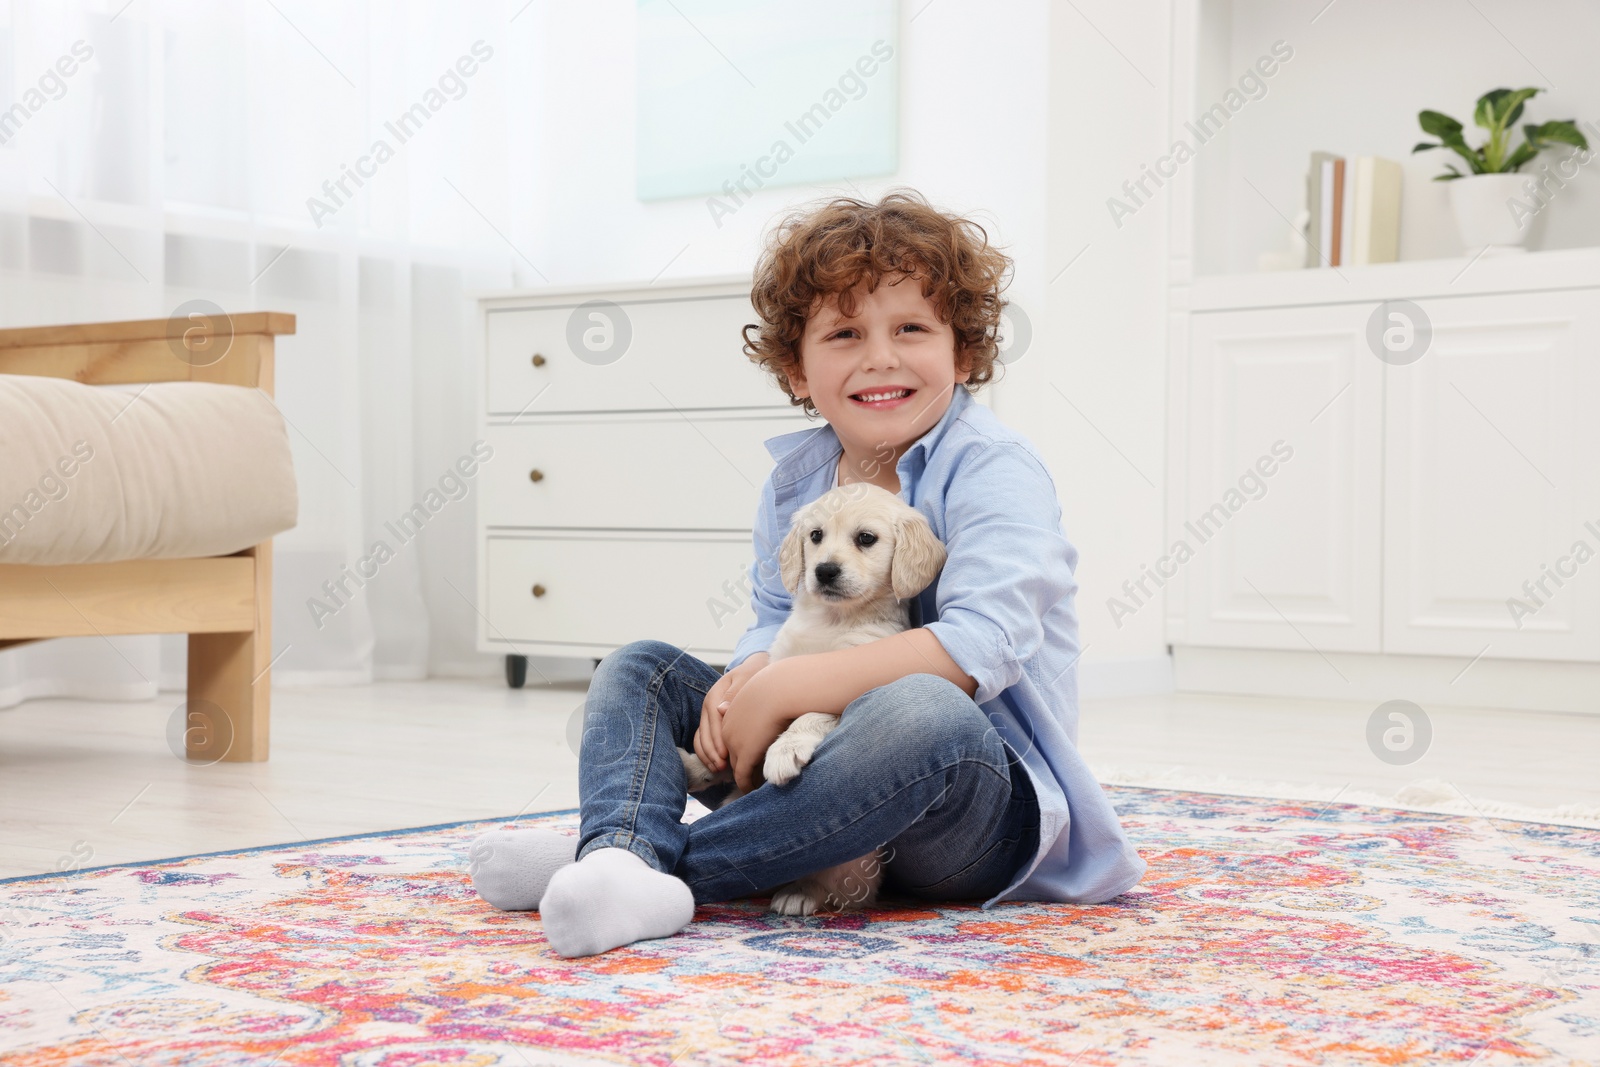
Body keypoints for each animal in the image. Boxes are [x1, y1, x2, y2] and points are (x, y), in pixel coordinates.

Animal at [678, 483, 947, 921]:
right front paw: (697, 763)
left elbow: (807, 712)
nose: (824, 571)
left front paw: (784, 750)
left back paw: (800, 893)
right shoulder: (776, 667)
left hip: (852, 865)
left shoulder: (844, 683)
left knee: (834, 886)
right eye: (816, 536)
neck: (833, 619)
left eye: (866, 538)